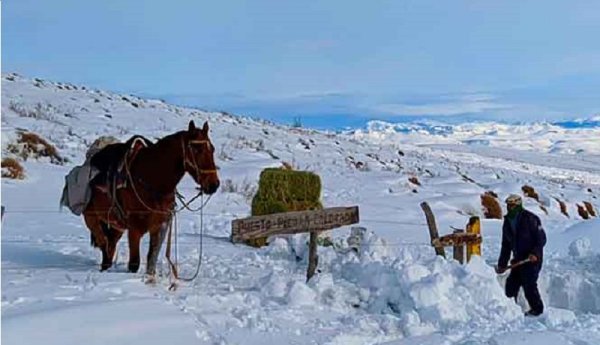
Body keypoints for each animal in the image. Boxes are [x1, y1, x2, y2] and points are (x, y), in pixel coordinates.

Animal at [81, 121, 218, 274]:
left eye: (212, 149)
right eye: (197, 149)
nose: (214, 185)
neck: (151, 181)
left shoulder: (159, 228)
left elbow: (151, 261)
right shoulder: (134, 230)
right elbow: (134, 264)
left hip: (116, 226)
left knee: (109, 247)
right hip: (92, 219)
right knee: (103, 243)